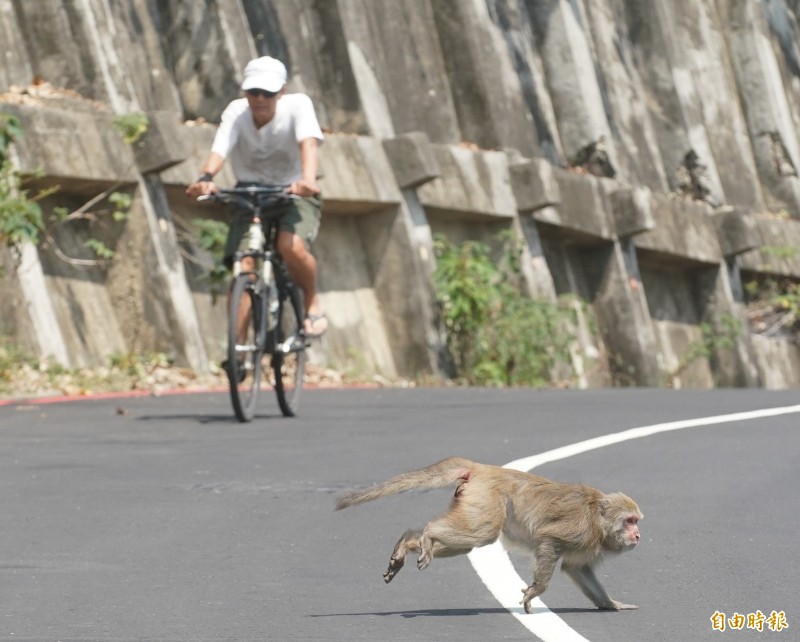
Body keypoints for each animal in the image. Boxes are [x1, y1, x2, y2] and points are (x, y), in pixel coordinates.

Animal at [332, 456, 644, 608]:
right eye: (630, 521)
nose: (638, 535)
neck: (598, 522)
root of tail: (483, 468)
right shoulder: (577, 530)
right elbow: (548, 540)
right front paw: (535, 591)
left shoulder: (586, 545)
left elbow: (576, 569)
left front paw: (610, 605)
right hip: (485, 497)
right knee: (482, 534)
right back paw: (428, 534)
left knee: (469, 541)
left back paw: (410, 542)